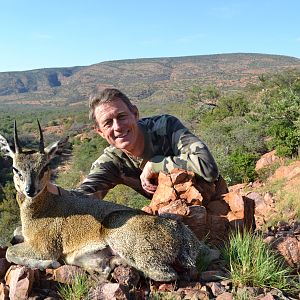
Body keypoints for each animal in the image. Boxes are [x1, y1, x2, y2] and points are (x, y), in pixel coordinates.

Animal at [0, 120, 220, 280]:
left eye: (45, 167)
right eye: (15, 168)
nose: (30, 190)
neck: (40, 212)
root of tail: (189, 239)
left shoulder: (45, 246)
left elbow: (10, 251)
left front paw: (49, 263)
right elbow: (13, 238)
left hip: (121, 233)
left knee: (165, 274)